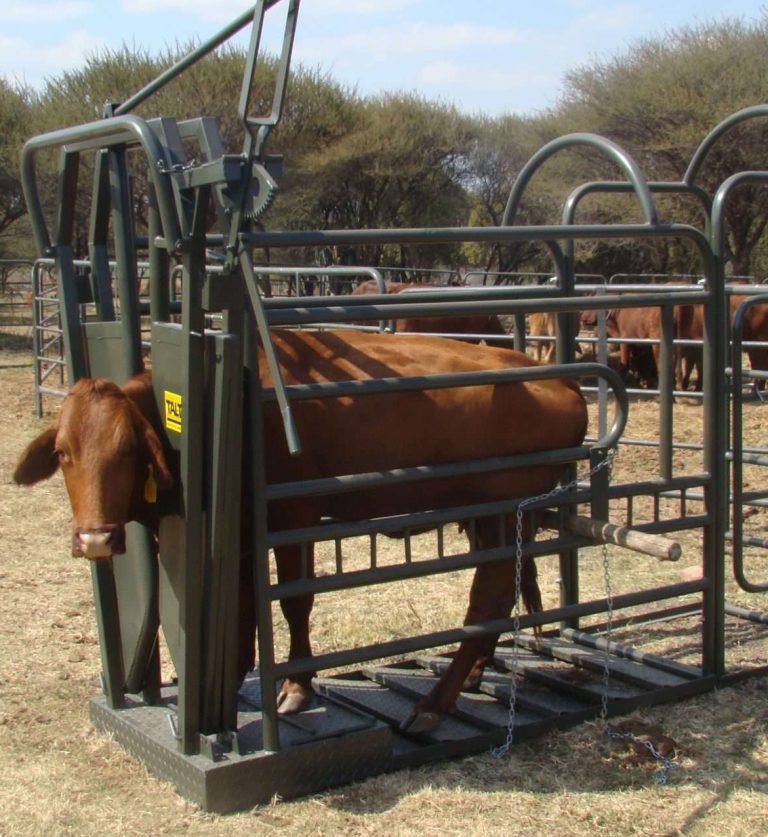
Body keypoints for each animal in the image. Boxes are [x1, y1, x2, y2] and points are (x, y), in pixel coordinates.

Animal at [14, 329, 587, 733]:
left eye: (129, 450)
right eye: (63, 453)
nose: (95, 540)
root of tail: (555, 376)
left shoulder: (293, 516)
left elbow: (293, 601)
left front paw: (295, 686)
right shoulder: (240, 531)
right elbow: (243, 603)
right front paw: (233, 683)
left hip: (501, 510)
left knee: (488, 596)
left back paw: (433, 705)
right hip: (492, 519)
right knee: (502, 590)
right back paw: (469, 676)